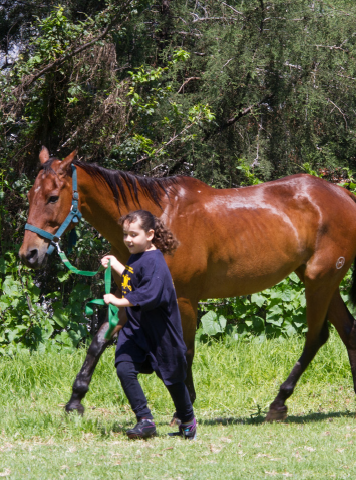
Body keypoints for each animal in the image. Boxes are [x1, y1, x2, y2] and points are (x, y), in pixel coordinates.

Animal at [20, 146, 356, 420]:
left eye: (52, 197)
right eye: (30, 196)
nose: (29, 254)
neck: (159, 222)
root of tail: (344, 195)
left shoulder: (183, 299)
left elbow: (185, 350)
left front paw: (184, 407)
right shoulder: (130, 297)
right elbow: (98, 341)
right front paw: (75, 400)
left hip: (319, 281)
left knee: (317, 337)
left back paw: (278, 403)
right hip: (321, 282)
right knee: (347, 330)